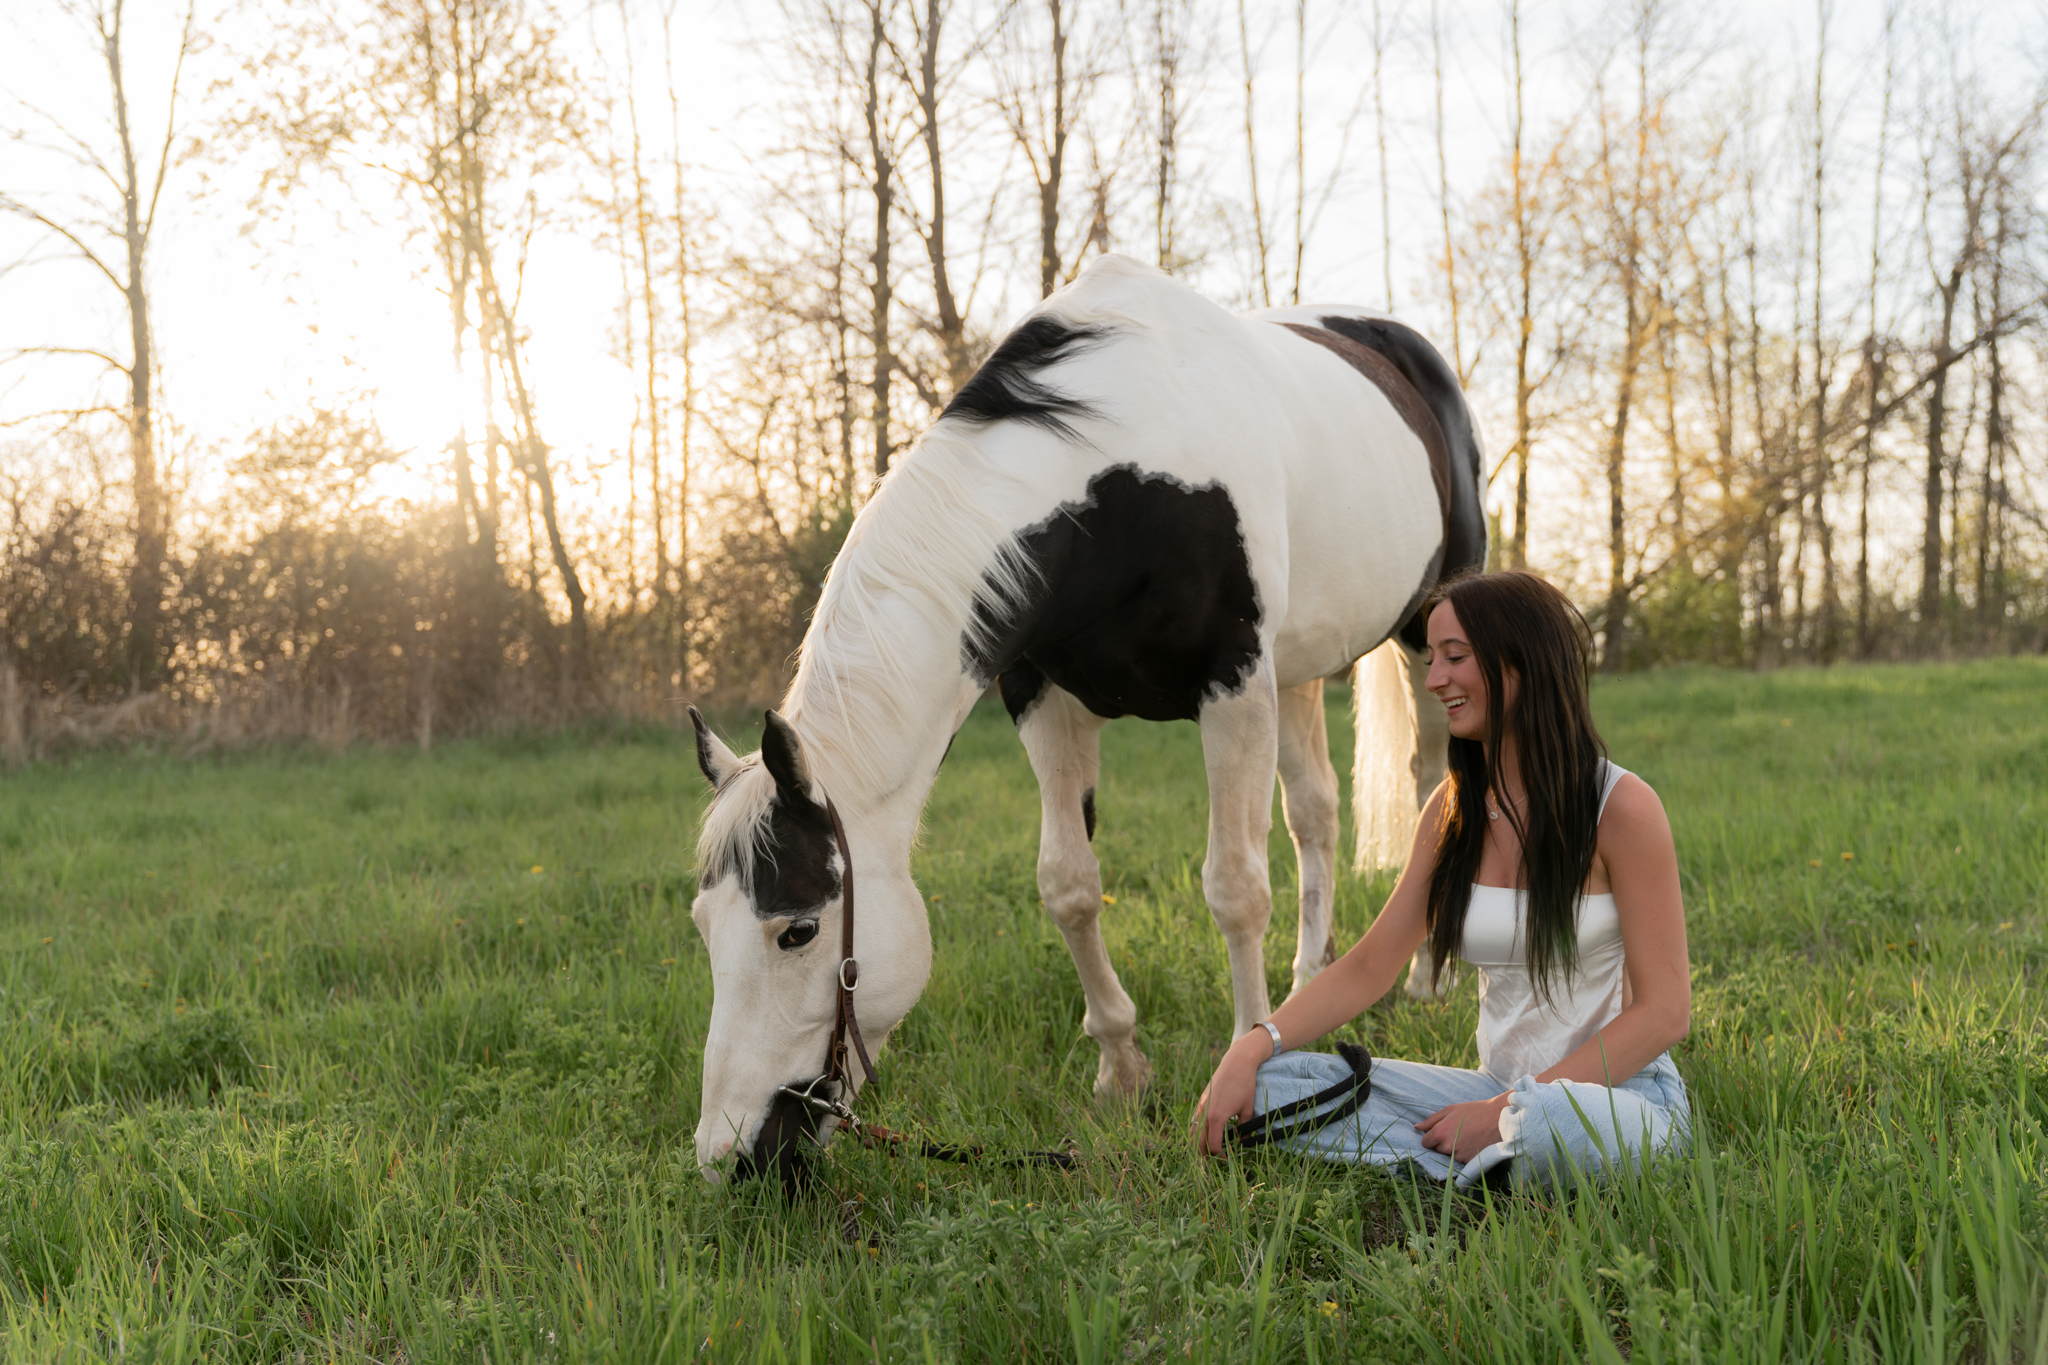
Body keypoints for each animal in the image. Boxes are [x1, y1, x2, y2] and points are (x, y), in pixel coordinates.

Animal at [687, 253, 1483, 1181]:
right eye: (704, 925)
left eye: (800, 930)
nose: (729, 1156)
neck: (1123, 473)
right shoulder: (1043, 696)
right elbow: (1068, 884)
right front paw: (1120, 1064)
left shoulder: (1233, 686)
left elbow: (1235, 887)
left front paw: (1246, 1069)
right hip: (1297, 672)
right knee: (1314, 812)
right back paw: (1307, 984)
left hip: (1427, 636)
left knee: (1429, 787)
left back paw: (1425, 981)